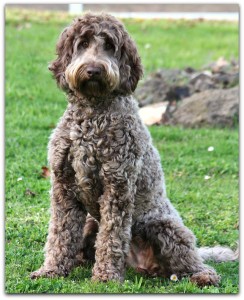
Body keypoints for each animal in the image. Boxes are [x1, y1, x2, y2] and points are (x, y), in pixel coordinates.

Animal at [31, 13, 238, 286]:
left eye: (110, 46)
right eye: (83, 43)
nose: (93, 69)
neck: (93, 113)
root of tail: (139, 264)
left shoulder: (117, 186)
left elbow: (111, 238)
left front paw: (106, 277)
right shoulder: (63, 187)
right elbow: (60, 234)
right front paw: (51, 270)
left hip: (166, 227)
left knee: (195, 263)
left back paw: (202, 275)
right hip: (90, 222)